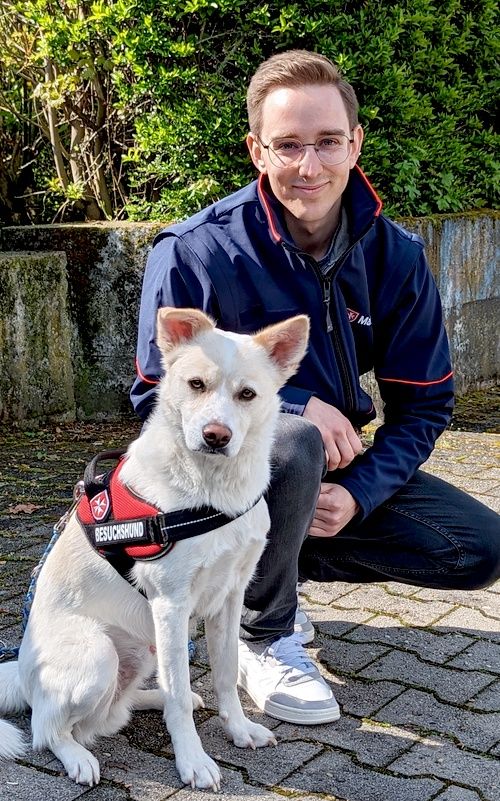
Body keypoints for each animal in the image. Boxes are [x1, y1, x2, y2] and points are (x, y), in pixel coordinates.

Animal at [0, 304, 308, 788]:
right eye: (196, 384)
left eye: (248, 394)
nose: (216, 435)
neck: (212, 492)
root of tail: (23, 674)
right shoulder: (170, 604)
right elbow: (180, 694)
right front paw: (193, 760)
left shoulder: (229, 598)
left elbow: (223, 674)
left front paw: (238, 729)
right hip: (99, 654)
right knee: (46, 728)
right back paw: (77, 756)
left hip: (144, 649)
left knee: (125, 704)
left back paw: (152, 701)